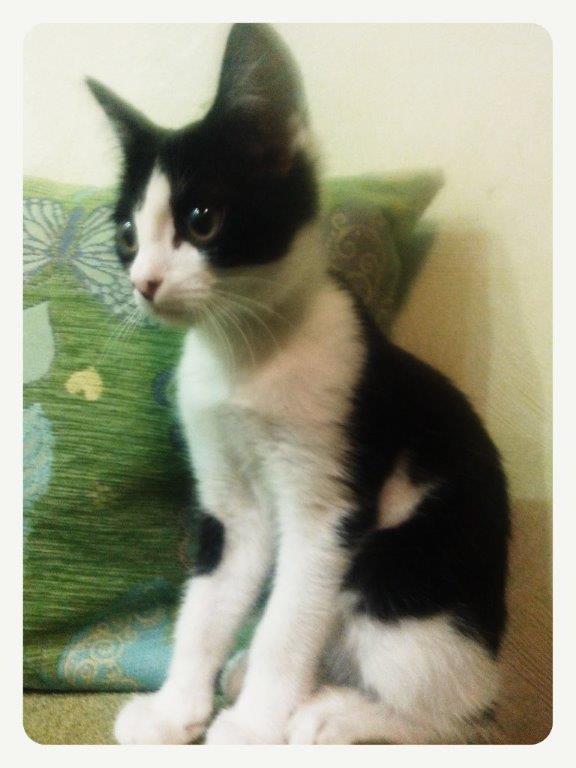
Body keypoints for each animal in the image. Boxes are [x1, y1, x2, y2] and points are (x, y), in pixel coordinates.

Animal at [88, 23, 509, 745]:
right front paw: (176, 710)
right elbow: (206, 604)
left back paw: (332, 713)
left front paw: (254, 729)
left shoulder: (332, 503)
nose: (144, 283)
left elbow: (289, 622)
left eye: (202, 218)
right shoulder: (231, 504)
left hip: (402, 568)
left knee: (453, 713)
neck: (246, 356)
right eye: (125, 234)